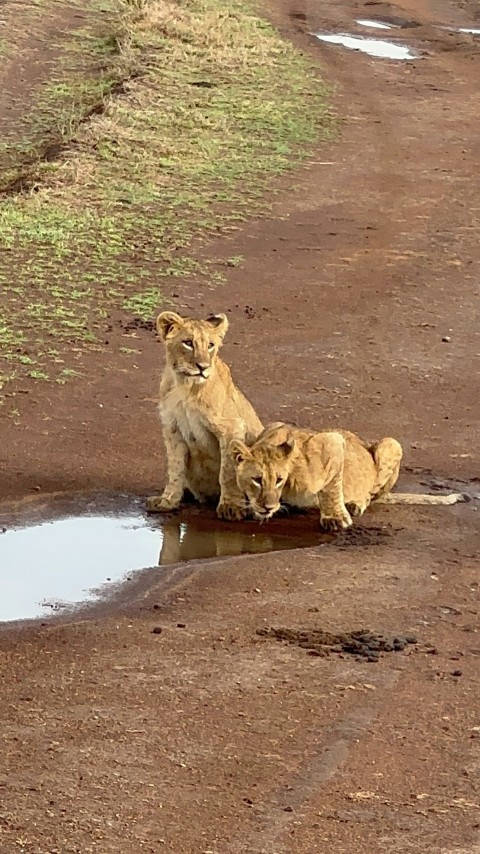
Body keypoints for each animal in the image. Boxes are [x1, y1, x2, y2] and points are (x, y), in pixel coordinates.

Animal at [146, 310, 263, 520]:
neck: (185, 385)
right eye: (188, 343)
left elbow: (227, 472)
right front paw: (167, 501)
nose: (202, 367)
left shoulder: (231, 426)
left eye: (210, 345)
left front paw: (230, 506)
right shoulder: (172, 428)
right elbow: (175, 468)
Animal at [229, 423, 465, 531]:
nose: (268, 506)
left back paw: (353, 504)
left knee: (370, 496)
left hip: (391, 444)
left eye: (279, 479)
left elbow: (331, 488)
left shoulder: (333, 442)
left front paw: (335, 518)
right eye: (257, 480)